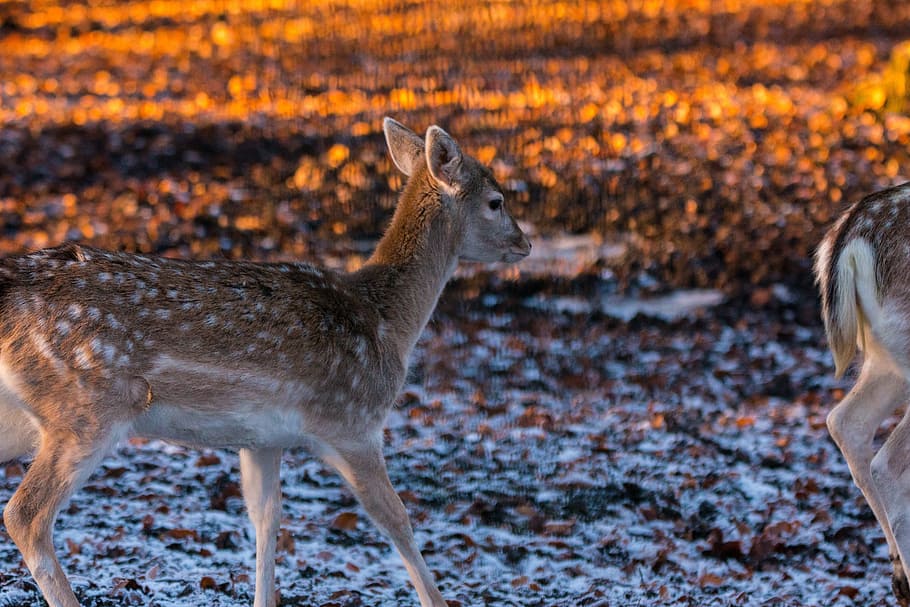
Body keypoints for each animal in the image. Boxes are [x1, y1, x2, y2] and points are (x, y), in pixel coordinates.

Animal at [0, 117, 531, 607]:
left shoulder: (262, 439)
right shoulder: (354, 423)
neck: (388, 324)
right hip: (87, 405)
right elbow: (397, 519)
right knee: (25, 514)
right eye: (496, 201)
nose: (525, 244)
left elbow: (265, 518)